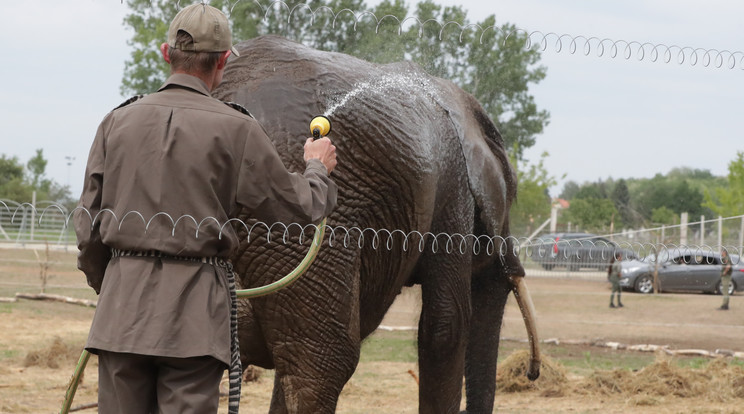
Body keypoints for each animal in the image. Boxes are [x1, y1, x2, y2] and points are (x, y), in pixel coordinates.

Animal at [212, 36, 536, 414]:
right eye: (512, 191)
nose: (531, 373)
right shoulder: (454, 185)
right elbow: (446, 327)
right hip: (293, 218)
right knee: (323, 362)